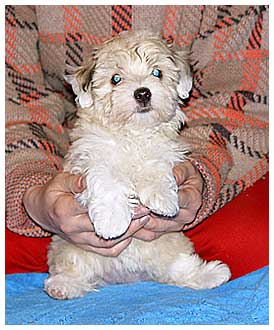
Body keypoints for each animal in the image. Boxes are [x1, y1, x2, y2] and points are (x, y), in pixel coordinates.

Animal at [45, 31, 231, 300]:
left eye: (157, 73)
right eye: (115, 79)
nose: (143, 93)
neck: (133, 133)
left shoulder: (165, 151)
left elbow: (156, 164)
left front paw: (163, 199)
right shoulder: (90, 157)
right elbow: (107, 180)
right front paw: (112, 221)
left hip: (169, 244)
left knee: (178, 268)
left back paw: (210, 275)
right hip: (69, 247)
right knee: (73, 268)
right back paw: (62, 286)